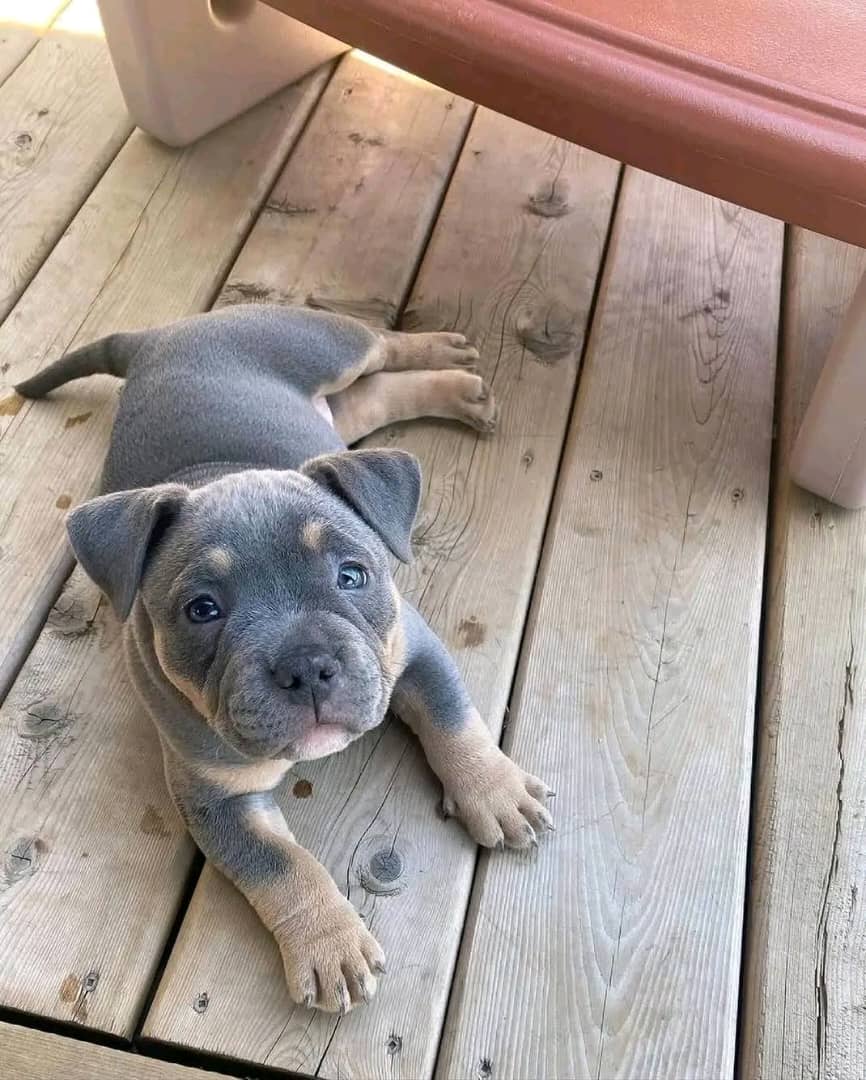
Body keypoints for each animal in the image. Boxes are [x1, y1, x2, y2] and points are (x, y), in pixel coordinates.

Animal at [16, 305, 553, 1013]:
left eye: (353, 576)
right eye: (202, 610)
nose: (308, 666)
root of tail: (159, 336)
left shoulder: (414, 651)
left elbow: (453, 720)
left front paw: (496, 791)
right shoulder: (217, 800)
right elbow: (283, 865)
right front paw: (330, 944)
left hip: (324, 345)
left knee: (382, 347)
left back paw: (455, 366)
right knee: (368, 397)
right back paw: (463, 391)